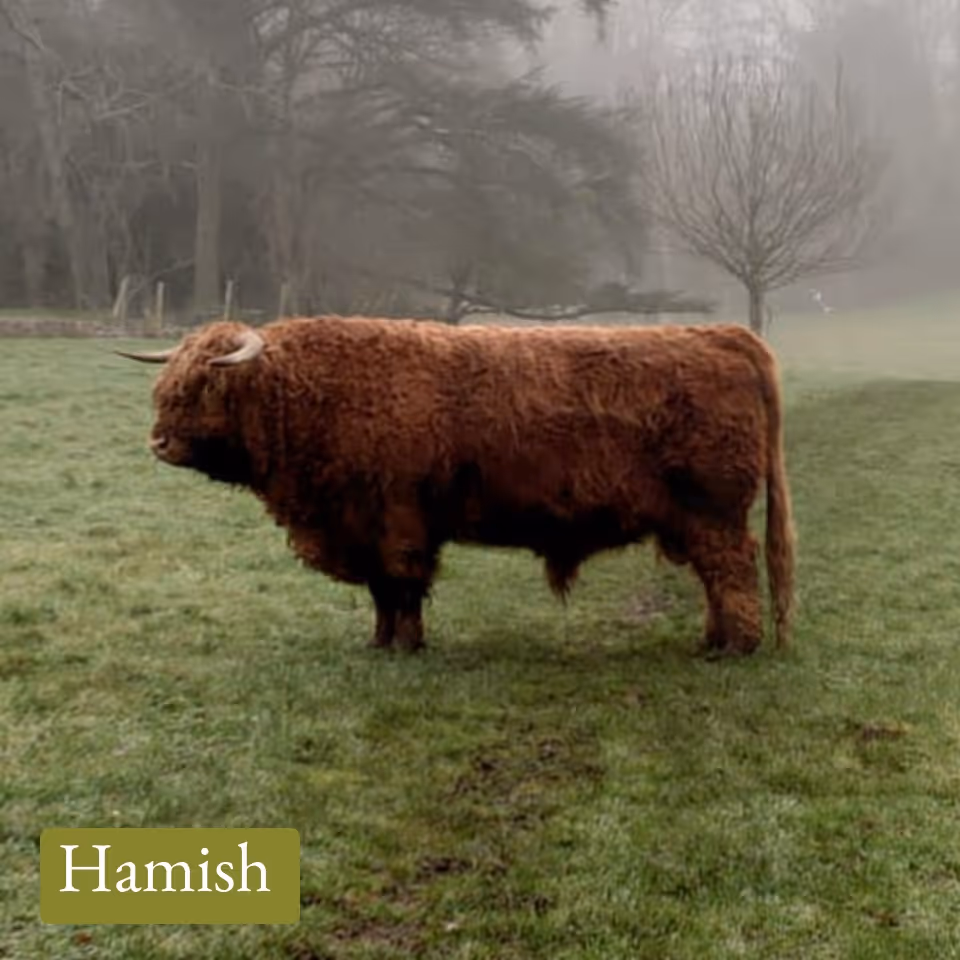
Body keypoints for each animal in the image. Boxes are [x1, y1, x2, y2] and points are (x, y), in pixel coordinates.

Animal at [118, 316, 795, 658]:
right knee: (716, 577)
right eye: (165, 385)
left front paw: (407, 645)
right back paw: (712, 640)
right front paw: (378, 642)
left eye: (205, 385)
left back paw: (737, 647)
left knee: (733, 570)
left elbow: (402, 585)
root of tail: (722, 334)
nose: (159, 443)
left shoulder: (396, 520)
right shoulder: (365, 526)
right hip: (695, 519)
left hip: (714, 511)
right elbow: (381, 592)